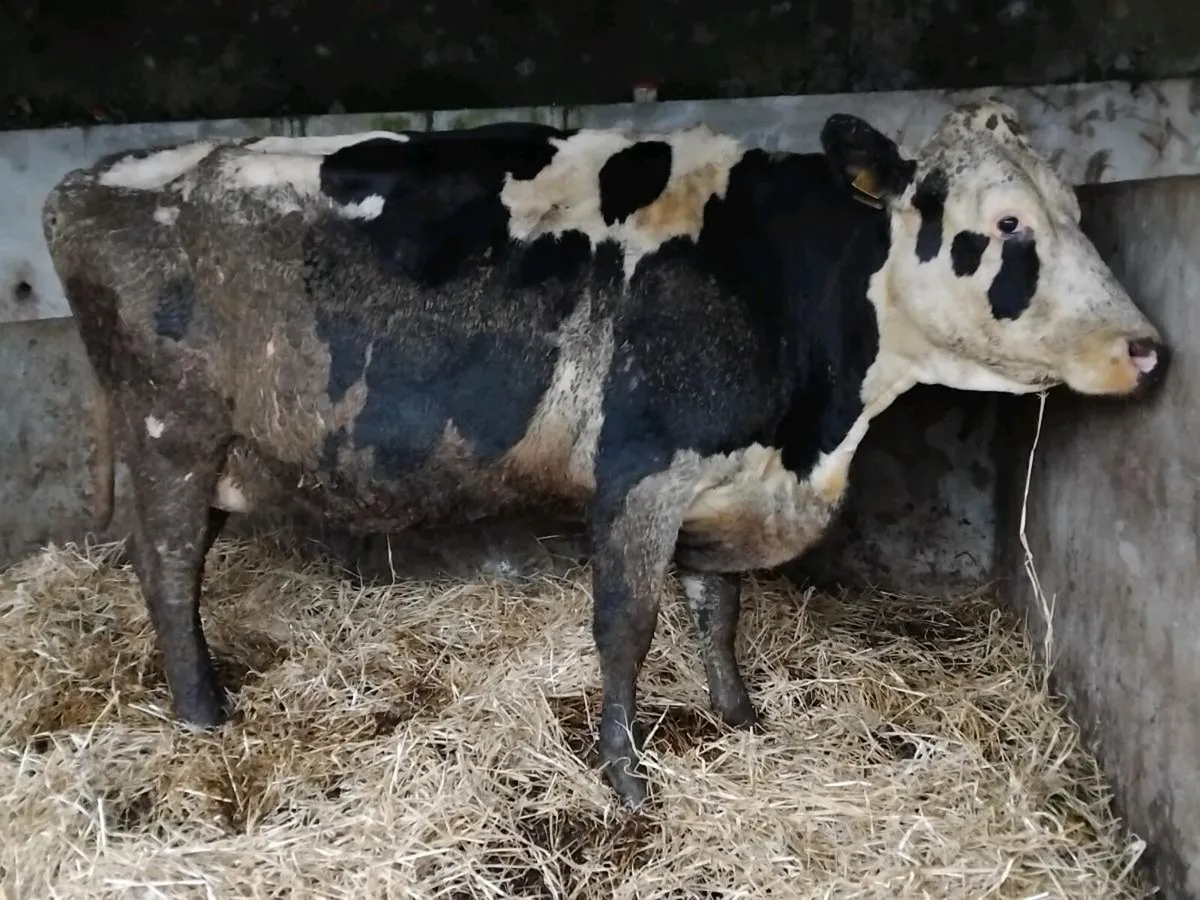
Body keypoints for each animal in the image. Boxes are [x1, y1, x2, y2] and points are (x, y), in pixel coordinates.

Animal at [41, 102, 1168, 809]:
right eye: (1005, 224)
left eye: (1077, 214)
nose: (1145, 348)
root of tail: (97, 178)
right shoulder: (641, 472)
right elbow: (626, 629)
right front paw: (626, 779)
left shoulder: (725, 475)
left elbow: (717, 610)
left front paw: (739, 715)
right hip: (171, 436)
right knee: (167, 568)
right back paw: (201, 711)